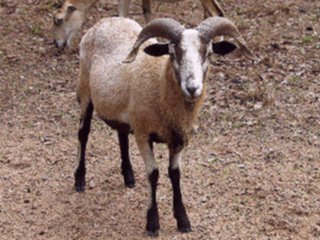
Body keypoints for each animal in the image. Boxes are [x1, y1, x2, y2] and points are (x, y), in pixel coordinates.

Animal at [75, 15, 255, 235]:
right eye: (173, 53)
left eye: (208, 53)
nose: (192, 88)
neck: (160, 83)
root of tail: (106, 20)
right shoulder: (143, 134)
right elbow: (153, 174)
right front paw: (152, 223)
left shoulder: (178, 137)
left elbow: (175, 174)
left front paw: (183, 220)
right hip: (85, 89)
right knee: (83, 133)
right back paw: (80, 180)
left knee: (121, 135)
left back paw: (128, 176)